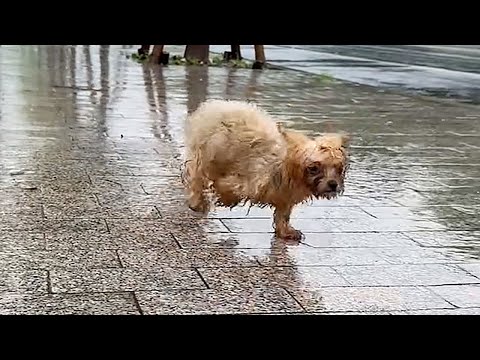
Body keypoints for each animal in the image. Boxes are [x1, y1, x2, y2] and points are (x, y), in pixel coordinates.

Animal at [181, 100, 348, 240]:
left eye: (338, 169)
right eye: (314, 168)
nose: (333, 184)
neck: (284, 165)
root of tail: (215, 105)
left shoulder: (285, 196)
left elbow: (283, 215)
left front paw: (285, 231)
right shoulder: (249, 181)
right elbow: (229, 187)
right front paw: (226, 199)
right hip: (205, 157)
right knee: (197, 178)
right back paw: (197, 203)